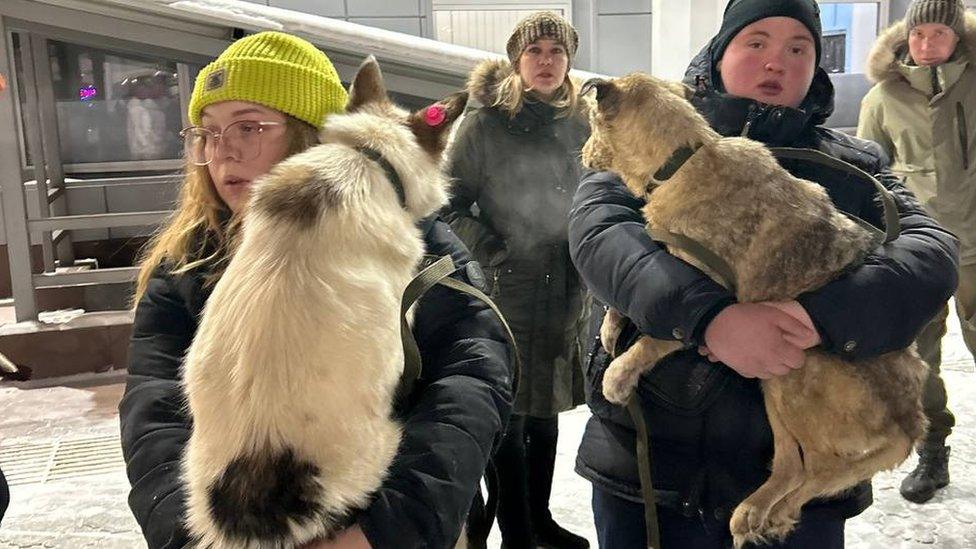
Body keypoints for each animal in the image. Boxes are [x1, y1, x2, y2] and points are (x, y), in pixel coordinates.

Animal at [580, 74, 932, 548]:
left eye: (590, 124)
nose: (582, 157)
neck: (685, 159)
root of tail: (910, 419)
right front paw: (611, 325)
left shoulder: (711, 288)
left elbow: (658, 337)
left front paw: (619, 374)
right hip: (771, 387)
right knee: (791, 466)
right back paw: (754, 511)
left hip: (797, 375)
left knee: (820, 465)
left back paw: (776, 511)